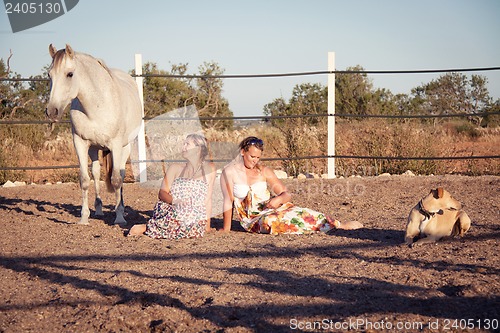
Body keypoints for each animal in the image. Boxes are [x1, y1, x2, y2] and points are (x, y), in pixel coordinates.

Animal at [46, 44, 142, 224]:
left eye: (70, 74)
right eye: (49, 74)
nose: (51, 111)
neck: (97, 105)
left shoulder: (116, 145)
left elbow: (116, 179)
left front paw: (119, 217)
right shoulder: (80, 143)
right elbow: (84, 179)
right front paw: (84, 217)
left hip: (125, 147)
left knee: (121, 174)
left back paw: (121, 208)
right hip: (94, 148)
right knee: (96, 173)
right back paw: (98, 209)